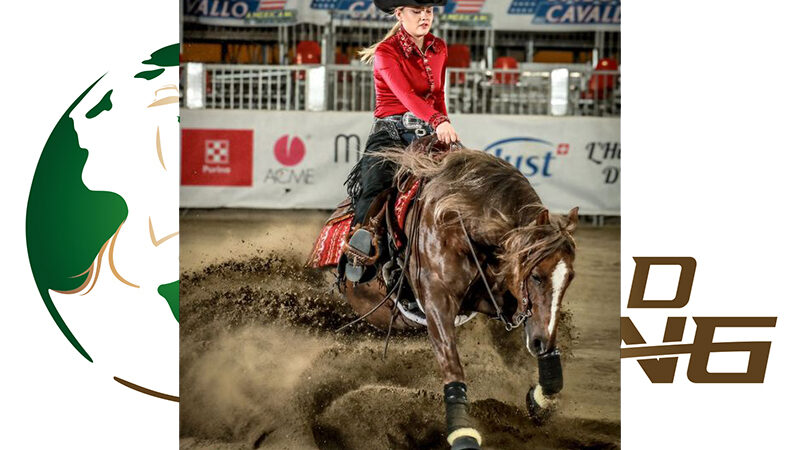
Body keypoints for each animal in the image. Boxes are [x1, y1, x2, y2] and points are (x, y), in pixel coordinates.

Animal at [336, 138, 576, 450]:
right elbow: (451, 363)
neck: (460, 220)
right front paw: (463, 433)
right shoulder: (436, 303)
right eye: (536, 276)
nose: (540, 343)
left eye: (569, 278)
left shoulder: (499, 298)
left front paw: (541, 401)